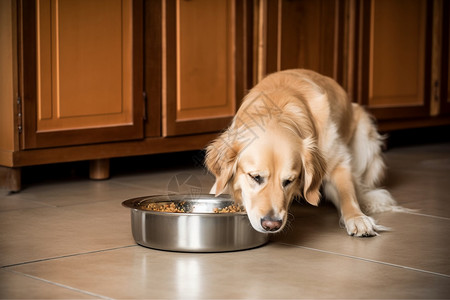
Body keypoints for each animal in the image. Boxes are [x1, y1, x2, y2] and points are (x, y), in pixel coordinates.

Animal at [206, 68, 400, 237]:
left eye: (289, 181)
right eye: (255, 177)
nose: (271, 224)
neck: (277, 110)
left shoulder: (338, 163)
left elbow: (347, 193)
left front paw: (358, 218)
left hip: (365, 138)